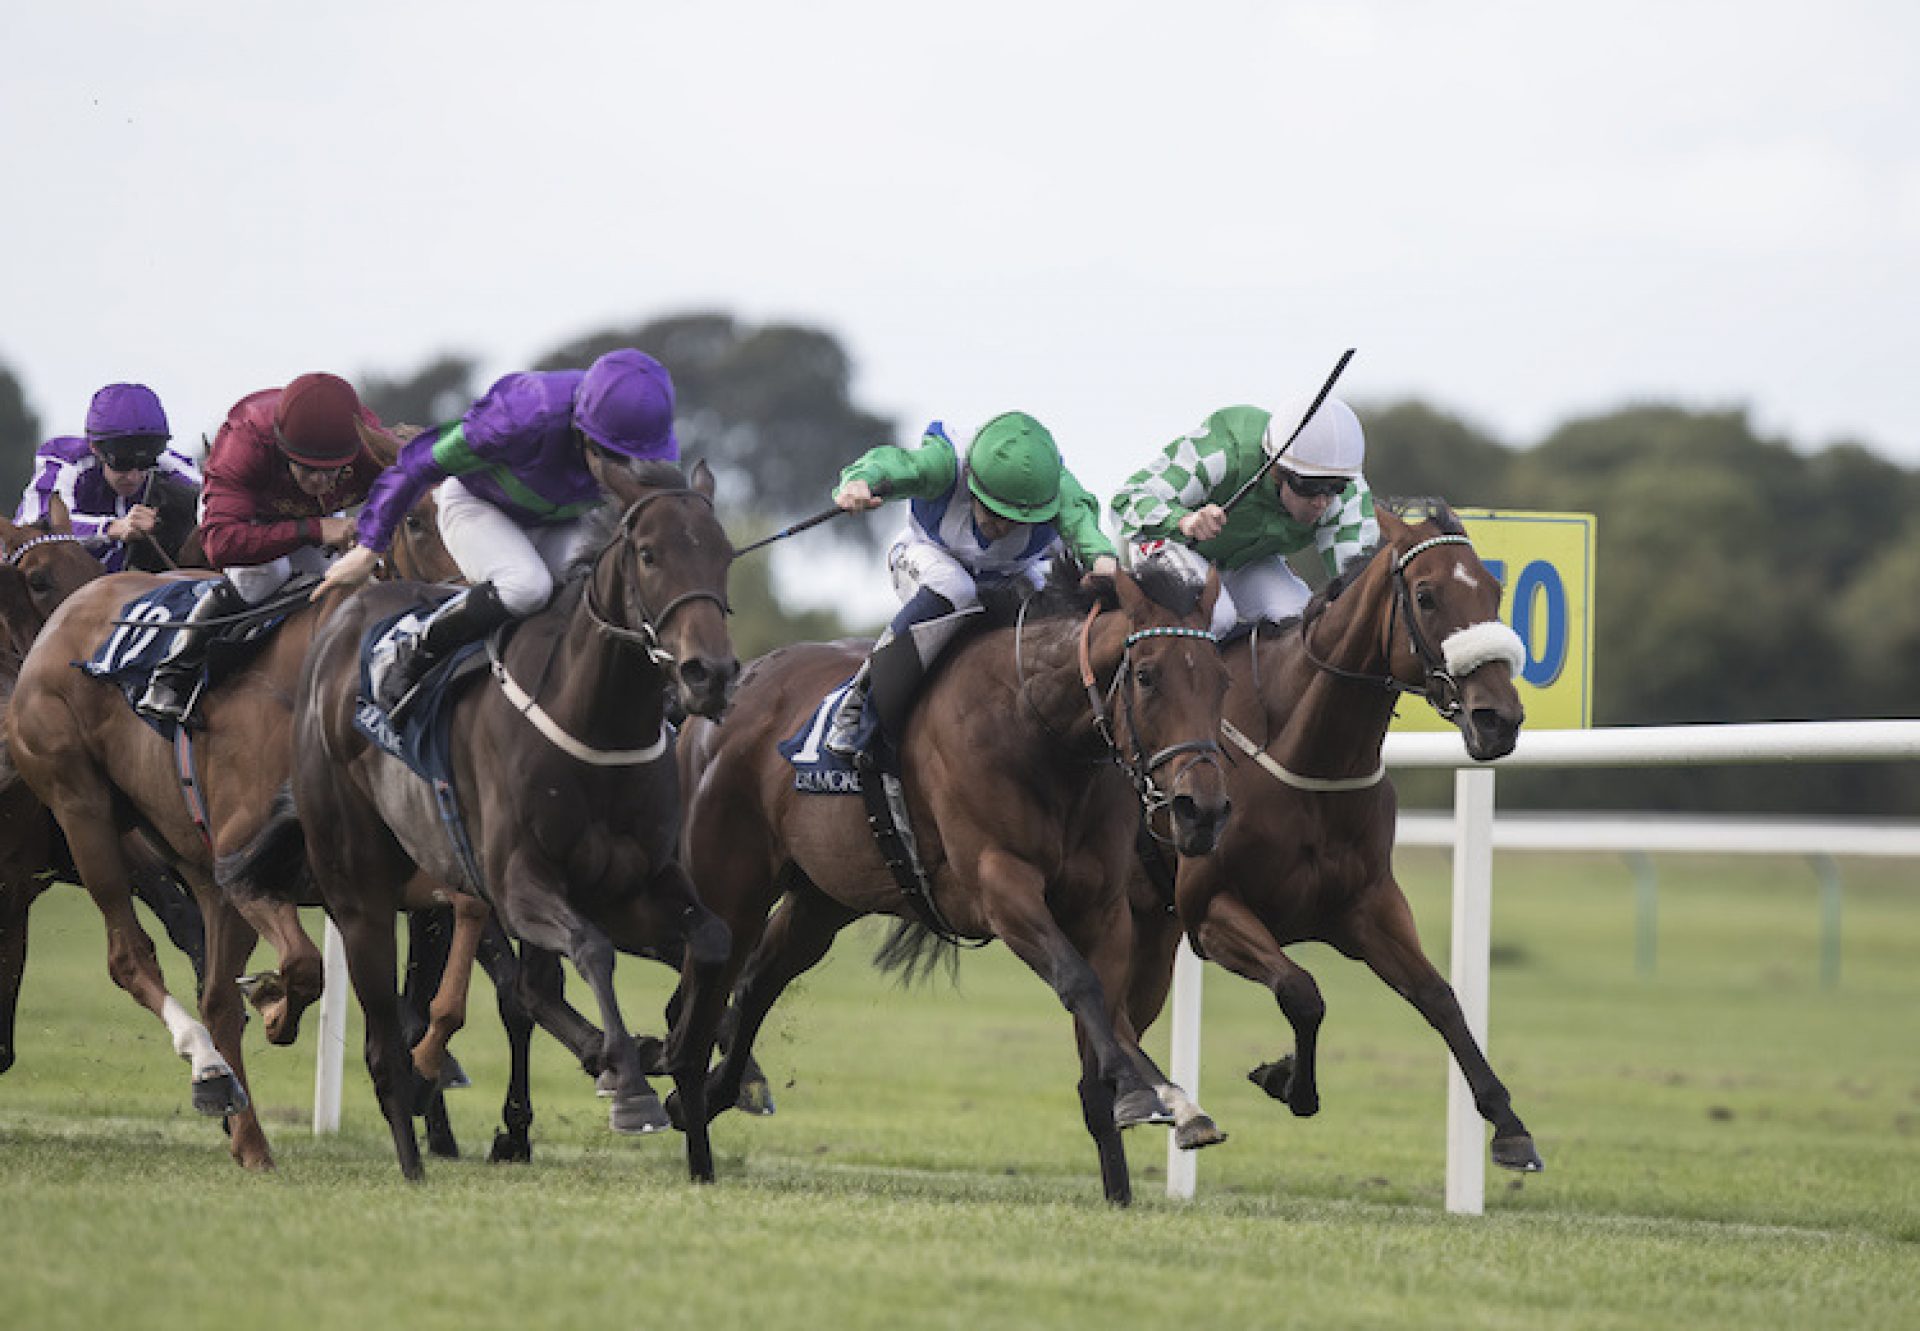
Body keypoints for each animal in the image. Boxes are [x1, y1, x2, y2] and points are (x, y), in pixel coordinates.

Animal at [291, 455, 741, 1175]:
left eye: (723, 554)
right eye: (648, 554)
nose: (711, 674)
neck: (596, 721)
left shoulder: (638, 884)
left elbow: (712, 941)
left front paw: (683, 1064)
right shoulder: (519, 883)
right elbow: (588, 953)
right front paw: (633, 1087)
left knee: (525, 989)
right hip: (362, 875)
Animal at [675, 560, 1236, 1206]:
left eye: (1221, 681)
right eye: (1146, 676)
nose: (1203, 810)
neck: (1039, 727)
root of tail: (722, 701)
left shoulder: (1102, 909)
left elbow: (1101, 1027)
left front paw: (1126, 1176)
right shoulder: (1000, 886)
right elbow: (1080, 983)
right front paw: (1148, 1095)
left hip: (822, 900)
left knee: (758, 983)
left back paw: (713, 1097)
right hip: (730, 889)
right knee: (698, 1013)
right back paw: (694, 1144)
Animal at [1121, 499, 1543, 1175]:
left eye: (1494, 590)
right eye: (1426, 595)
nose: (1497, 718)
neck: (1309, 759)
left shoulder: (1367, 905)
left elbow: (1439, 995)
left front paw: (1509, 1125)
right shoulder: (1211, 912)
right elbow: (1302, 990)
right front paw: (1290, 1082)